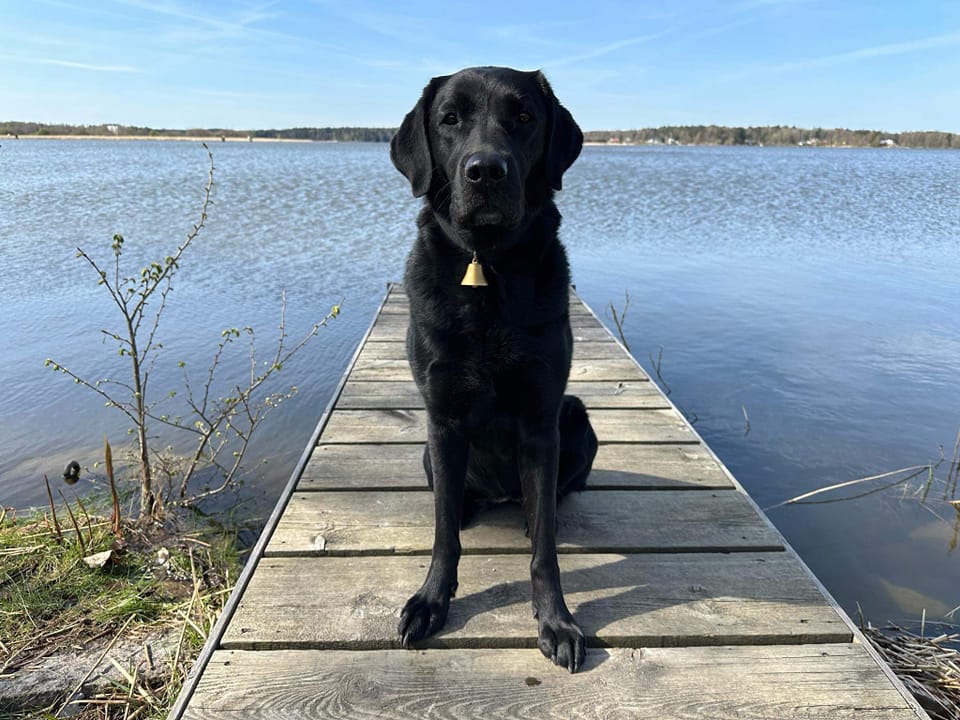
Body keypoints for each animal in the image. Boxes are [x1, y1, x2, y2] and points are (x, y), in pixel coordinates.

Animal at [388, 64, 596, 672]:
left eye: (524, 116)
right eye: (449, 119)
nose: (485, 170)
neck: (487, 266)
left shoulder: (541, 420)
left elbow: (545, 552)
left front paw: (557, 621)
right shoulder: (443, 419)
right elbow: (442, 538)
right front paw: (431, 602)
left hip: (577, 418)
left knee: (548, 500)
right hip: (429, 452)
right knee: (452, 502)